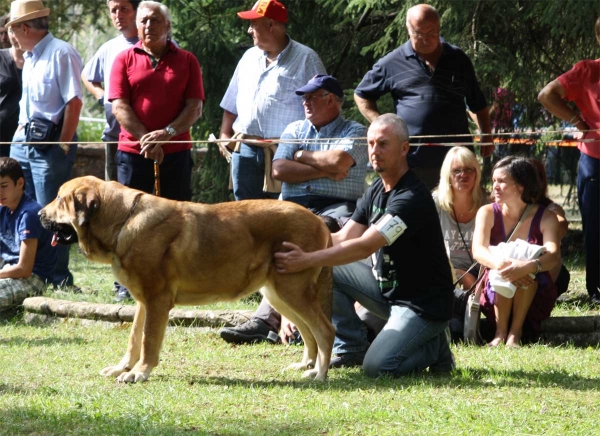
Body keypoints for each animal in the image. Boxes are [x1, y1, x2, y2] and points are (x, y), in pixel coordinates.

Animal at [39, 175, 336, 384]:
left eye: (59, 198)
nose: (40, 214)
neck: (123, 220)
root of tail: (319, 221)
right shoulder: (144, 303)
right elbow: (134, 339)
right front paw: (123, 368)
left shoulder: (157, 301)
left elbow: (148, 342)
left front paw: (139, 373)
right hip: (278, 294)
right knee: (308, 332)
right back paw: (306, 366)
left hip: (292, 290)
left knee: (324, 330)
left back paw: (320, 374)